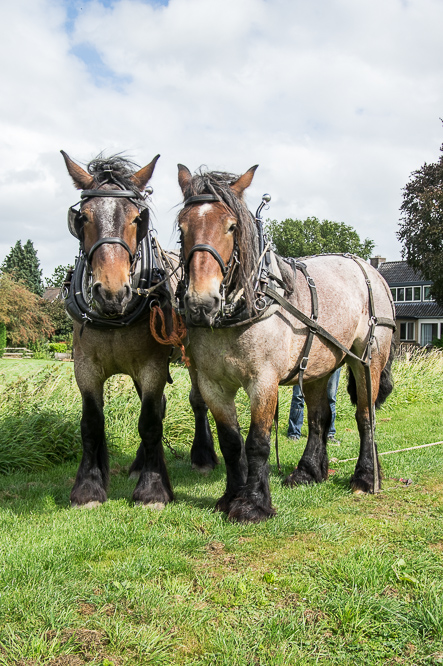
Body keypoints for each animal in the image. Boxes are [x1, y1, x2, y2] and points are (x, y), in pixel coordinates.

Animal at [61, 153, 217, 506]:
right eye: (83, 218)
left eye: (136, 219)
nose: (112, 292)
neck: (113, 316)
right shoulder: (85, 367)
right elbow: (91, 424)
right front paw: (88, 487)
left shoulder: (152, 366)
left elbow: (149, 423)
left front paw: (153, 488)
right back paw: (138, 463)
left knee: (197, 401)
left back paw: (203, 456)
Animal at [177, 163, 396, 520]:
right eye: (182, 228)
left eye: (231, 226)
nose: (201, 302)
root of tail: (371, 269)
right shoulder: (212, 384)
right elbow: (231, 442)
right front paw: (230, 496)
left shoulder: (263, 382)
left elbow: (257, 443)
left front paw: (252, 504)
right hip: (320, 367)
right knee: (319, 419)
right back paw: (308, 472)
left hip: (367, 360)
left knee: (366, 417)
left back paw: (366, 476)